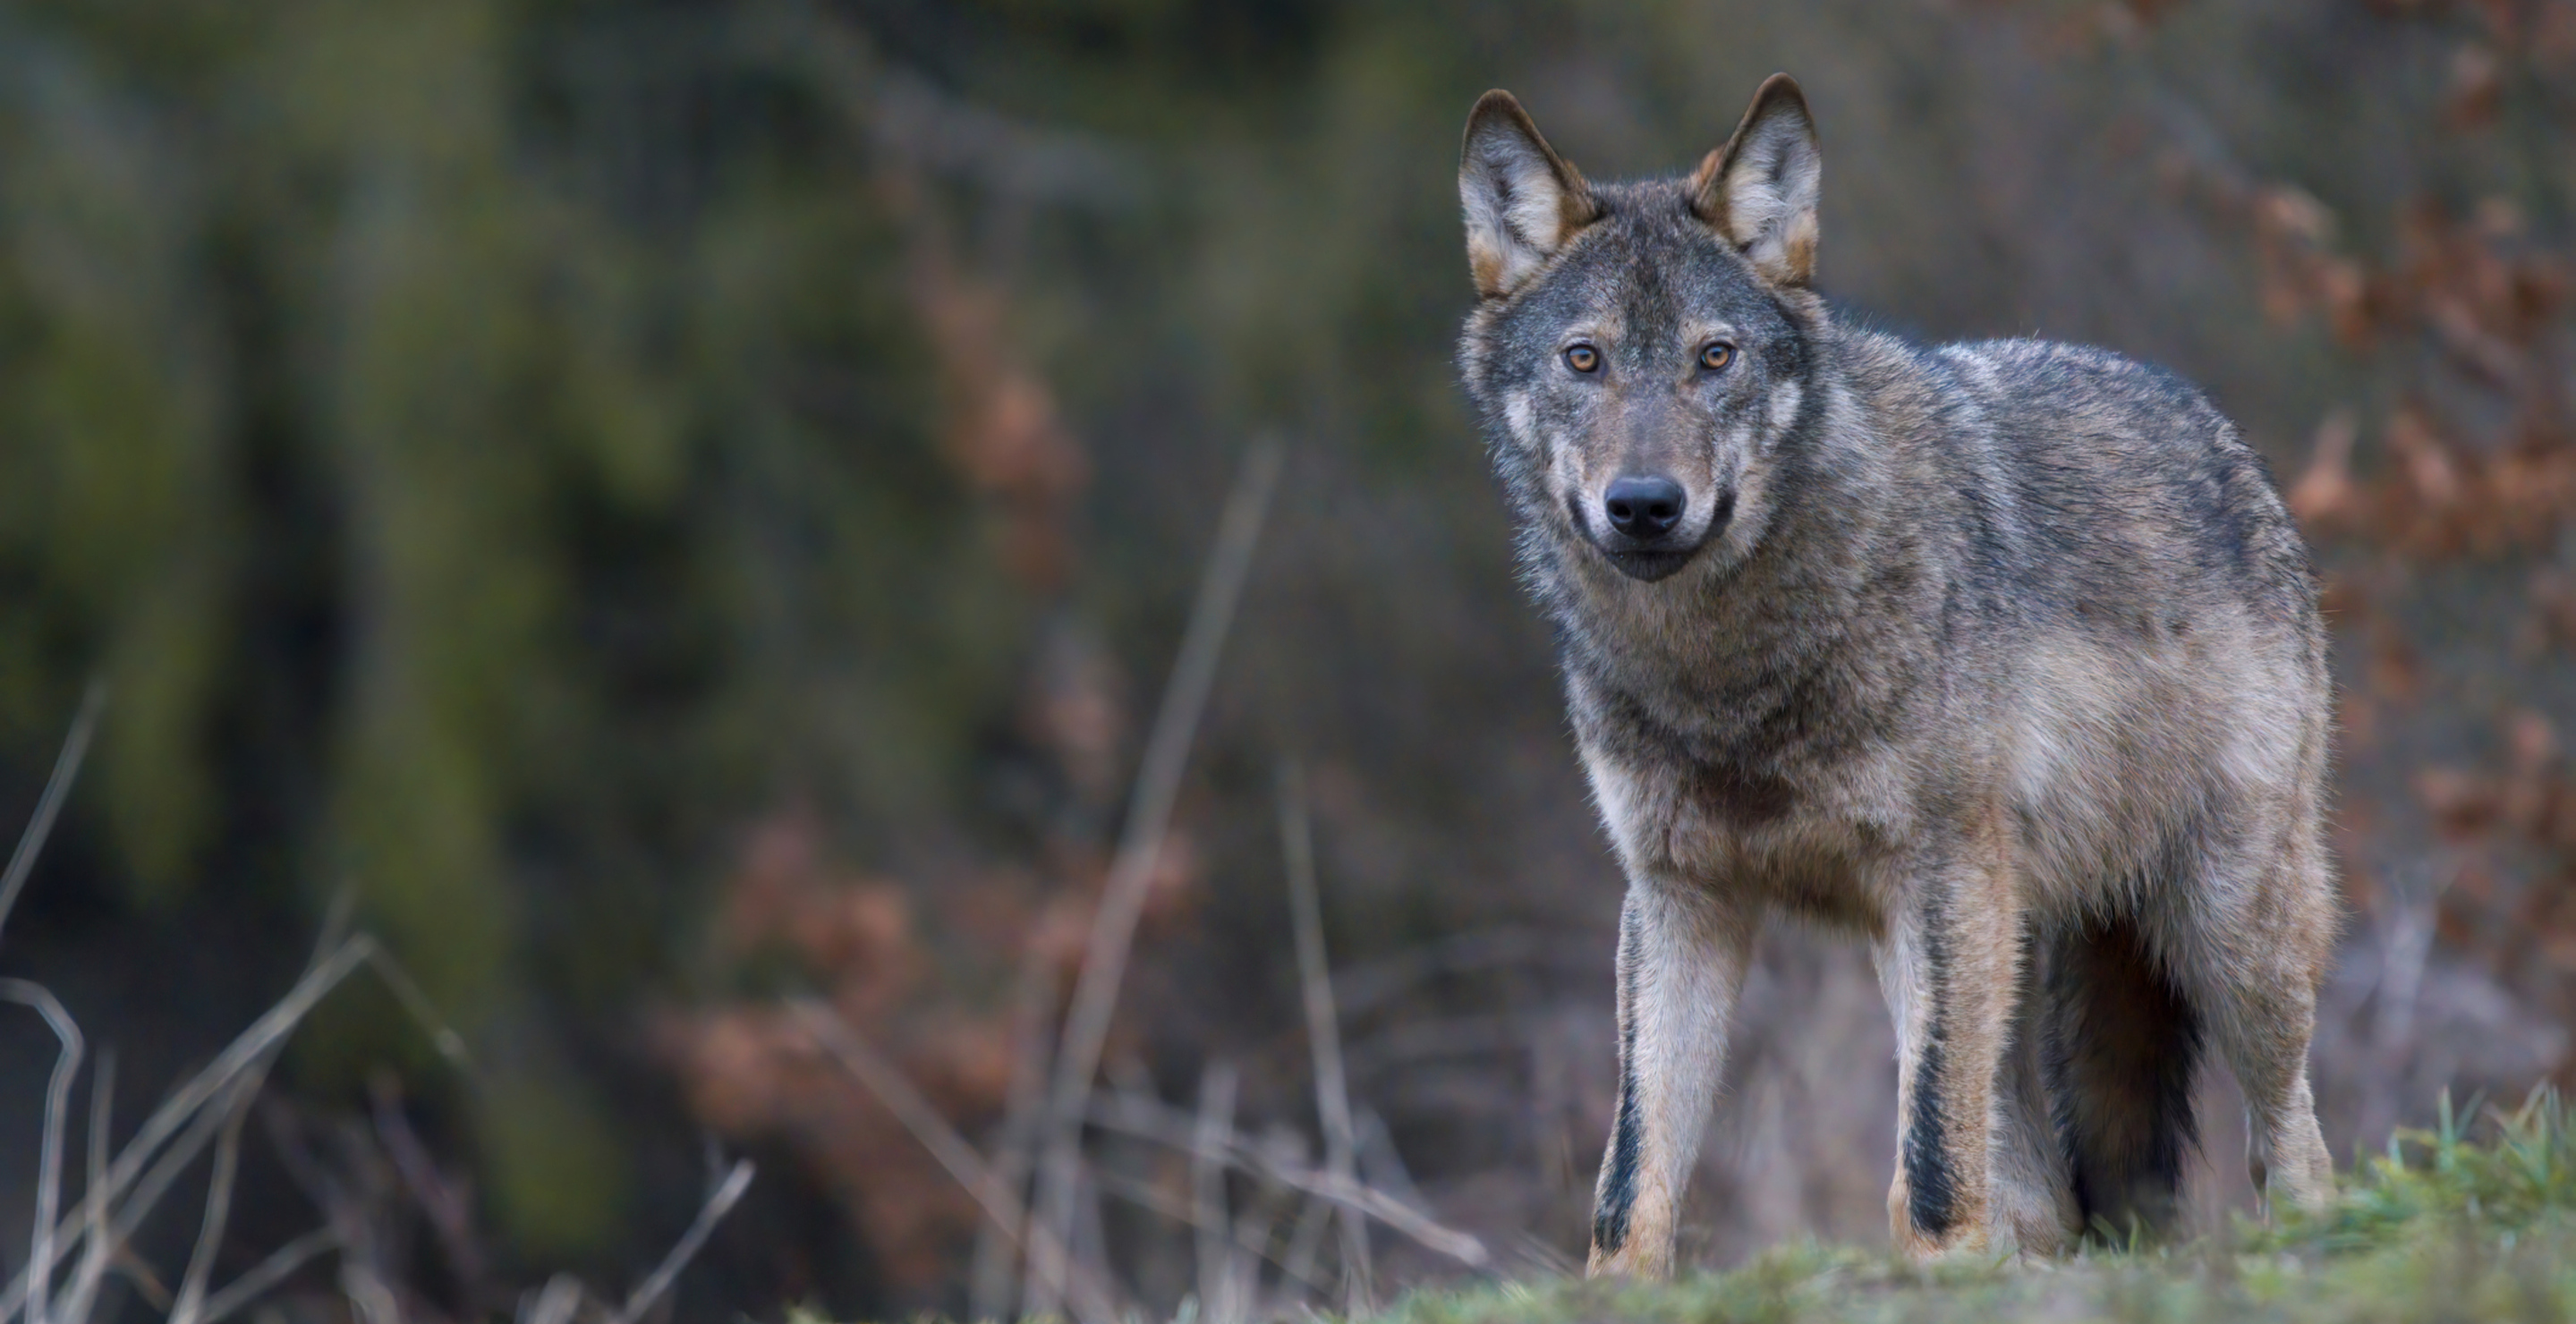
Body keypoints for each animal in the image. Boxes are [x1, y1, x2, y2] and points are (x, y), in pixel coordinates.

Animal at [1453, 75, 2338, 1275]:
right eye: (1581, 359)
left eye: (1713, 358)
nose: (1641, 504)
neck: (1729, 680)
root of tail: (2211, 427)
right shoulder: (1678, 900)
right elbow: (1629, 1175)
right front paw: (1619, 1288)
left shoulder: (1936, 873)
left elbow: (1923, 1163)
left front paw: (1934, 1271)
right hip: (1986, 948)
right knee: (2040, 1191)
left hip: (2215, 927)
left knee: (2290, 1143)